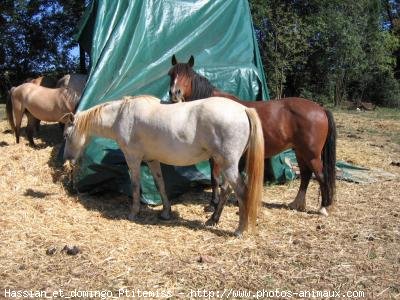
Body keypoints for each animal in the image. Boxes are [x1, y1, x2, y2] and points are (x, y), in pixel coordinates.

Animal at [61, 95, 266, 236]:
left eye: (66, 135)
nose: (68, 159)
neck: (121, 115)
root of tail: (243, 109)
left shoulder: (133, 158)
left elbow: (135, 185)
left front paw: (133, 212)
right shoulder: (152, 160)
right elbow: (160, 185)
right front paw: (166, 213)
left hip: (227, 164)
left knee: (241, 191)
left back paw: (239, 230)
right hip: (225, 163)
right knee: (226, 189)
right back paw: (213, 219)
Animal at [167, 55, 336, 217]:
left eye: (188, 75)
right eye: (171, 74)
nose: (175, 93)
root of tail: (320, 109)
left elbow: (215, 178)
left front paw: (213, 204)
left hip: (311, 154)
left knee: (321, 175)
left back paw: (323, 208)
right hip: (300, 152)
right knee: (306, 175)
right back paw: (296, 204)